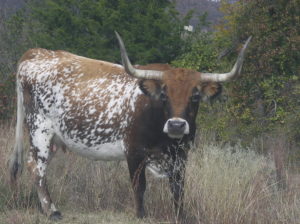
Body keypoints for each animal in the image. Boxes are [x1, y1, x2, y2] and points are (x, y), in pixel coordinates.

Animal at [8, 32, 251, 221]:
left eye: (195, 96)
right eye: (164, 95)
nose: (176, 125)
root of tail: (37, 53)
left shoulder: (181, 154)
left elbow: (178, 189)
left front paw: (180, 216)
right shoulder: (134, 151)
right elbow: (139, 186)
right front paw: (141, 215)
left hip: (52, 138)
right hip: (39, 129)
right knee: (36, 167)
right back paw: (52, 211)